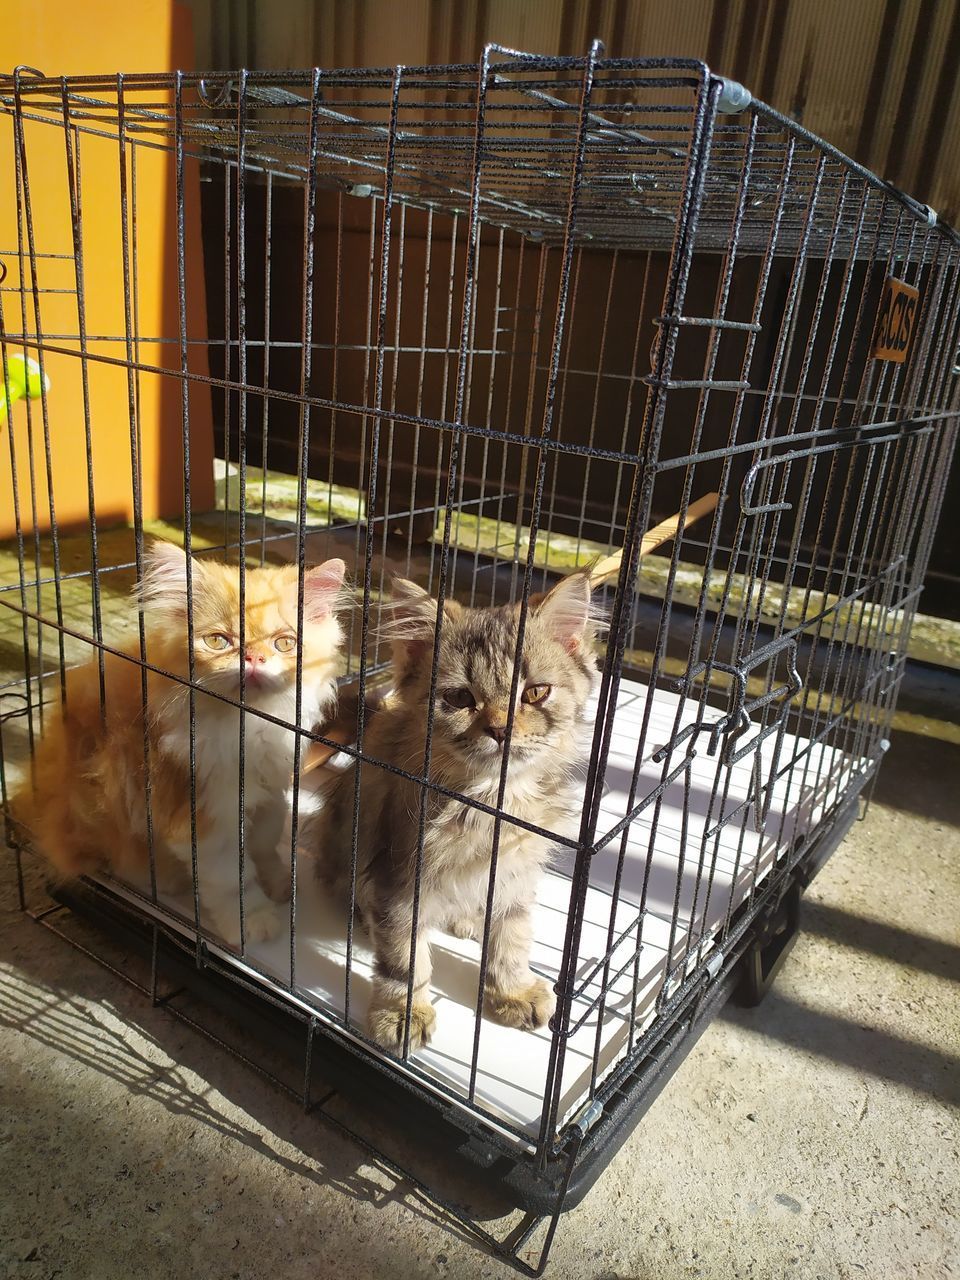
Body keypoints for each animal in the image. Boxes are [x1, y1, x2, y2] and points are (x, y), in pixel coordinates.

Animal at [14, 535, 345, 947]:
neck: (246, 725)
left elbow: (265, 842)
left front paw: (279, 881)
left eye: (285, 644)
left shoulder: (270, 789)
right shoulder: (202, 815)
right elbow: (233, 880)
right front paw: (252, 921)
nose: (254, 658)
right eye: (218, 641)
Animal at [308, 570, 599, 1049]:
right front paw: (402, 1013)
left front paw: (512, 991)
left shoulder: (516, 874)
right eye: (460, 698)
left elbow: (512, 938)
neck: (491, 804)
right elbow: (406, 961)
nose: (501, 729)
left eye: (535, 693)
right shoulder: (398, 878)